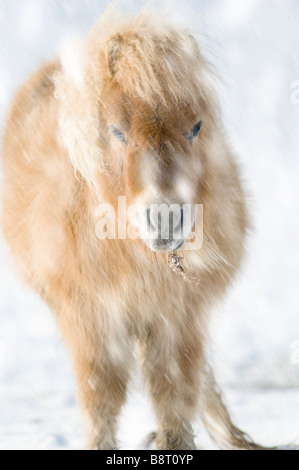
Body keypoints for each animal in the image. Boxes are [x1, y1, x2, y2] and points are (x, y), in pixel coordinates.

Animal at [1, 6, 262, 448]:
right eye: (117, 131)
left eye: (196, 126)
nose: (165, 217)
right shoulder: (92, 322)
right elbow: (101, 403)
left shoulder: (177, 320)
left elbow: (175, 398)